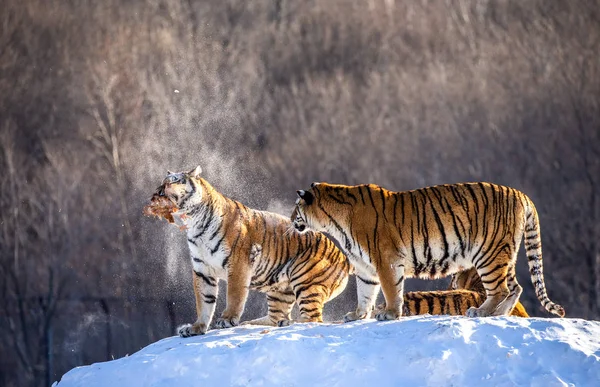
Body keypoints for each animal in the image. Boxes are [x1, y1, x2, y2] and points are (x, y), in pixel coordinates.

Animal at [150, 167, 350, 336]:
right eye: (162, 182)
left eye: (174, 181)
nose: (158, 192)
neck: (194, 223)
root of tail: (345, 259)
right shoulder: (202, 270)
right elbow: (204, 301)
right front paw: (196, 327)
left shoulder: (238, 263)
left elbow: (234, 294)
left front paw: (227, 319)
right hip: (279, 290)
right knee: (278, 316)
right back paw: (259, 323)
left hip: (303, 279)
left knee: (314, 319)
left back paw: (287, 324)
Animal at [292, 182, 564, 322]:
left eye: (296, 207)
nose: (293, 219)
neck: (334, 222)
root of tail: (521, 194)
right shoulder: (365, 267)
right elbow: (365, 293)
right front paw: (358, 315)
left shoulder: (386, 261)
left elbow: (391, 290)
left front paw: (389, 314)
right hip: (503, 254)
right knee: (516, 287)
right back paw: (499, 314)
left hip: (489, 254)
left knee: (501, 289)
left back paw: (481, 312)